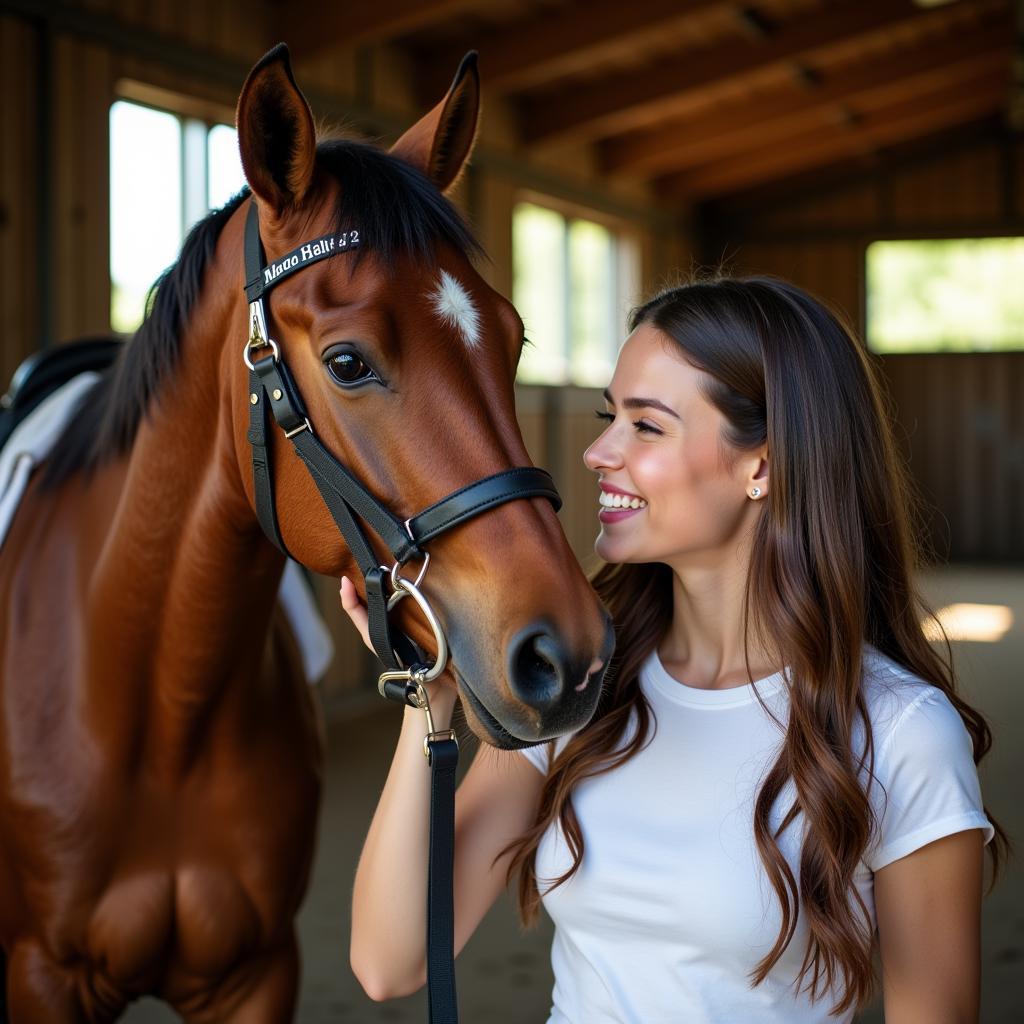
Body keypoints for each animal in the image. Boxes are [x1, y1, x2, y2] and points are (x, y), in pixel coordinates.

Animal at [0, 44, 606, 1019]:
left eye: (512, 340)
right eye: (347, 362)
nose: (569, 656)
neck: (157, 714)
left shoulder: (255, 972)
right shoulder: (42, 977)